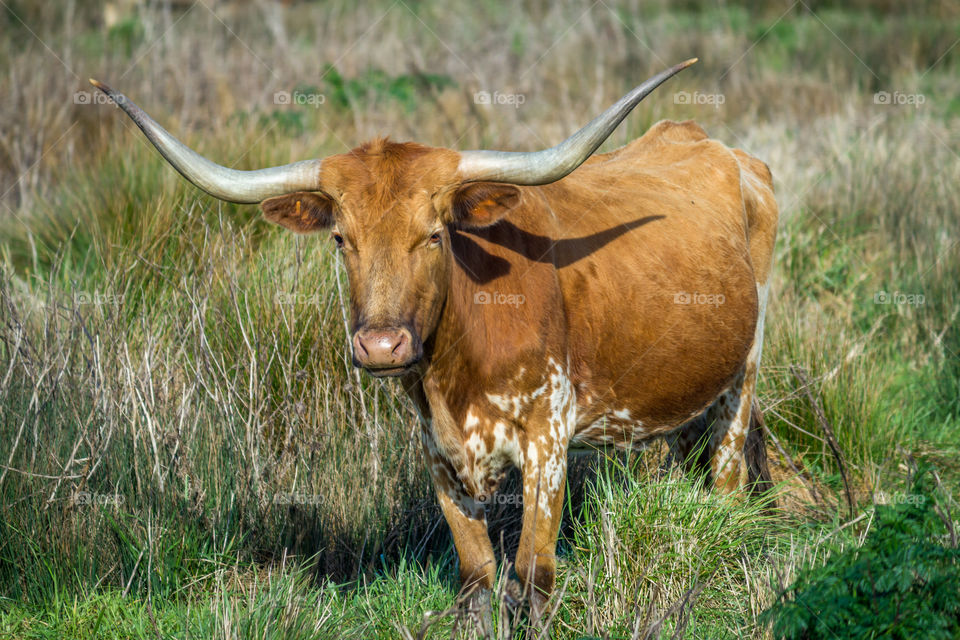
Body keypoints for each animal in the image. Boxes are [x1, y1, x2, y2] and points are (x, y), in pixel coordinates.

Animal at [94, 58, 776, 620]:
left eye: (433, 234)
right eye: (341, 238)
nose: (381, 347)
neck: (457, 374)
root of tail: (716, 145)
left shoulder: (547, 440)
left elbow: (531, 580)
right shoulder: (439, 456)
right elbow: (477, 583)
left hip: (742, 377)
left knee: (727, 486)